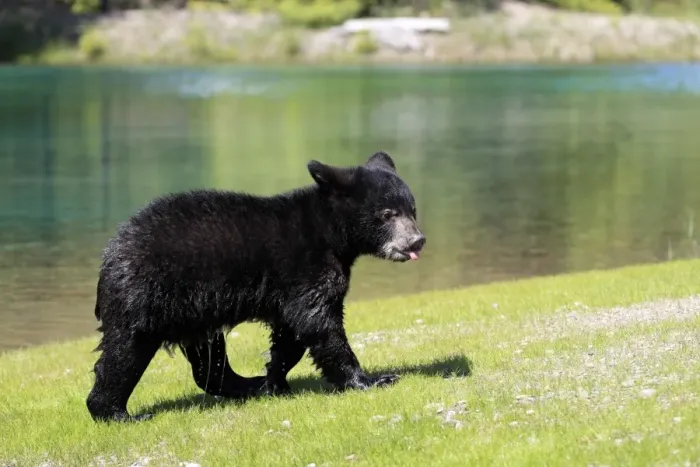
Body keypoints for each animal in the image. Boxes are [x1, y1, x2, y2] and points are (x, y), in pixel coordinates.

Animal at [86, 151, 426, 422]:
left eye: (412, 210)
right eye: (387, 214)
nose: (416, 240)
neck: (329, 231)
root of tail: (109, 255)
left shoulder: (293, 288)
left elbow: (291, 333)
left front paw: (274, 380)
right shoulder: (307, 267)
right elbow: (318, 323)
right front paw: (369, 379)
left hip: (192, 311)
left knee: (208, 358)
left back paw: (247, 383)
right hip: (143, 297)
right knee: (124, 351)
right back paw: (115, 412)